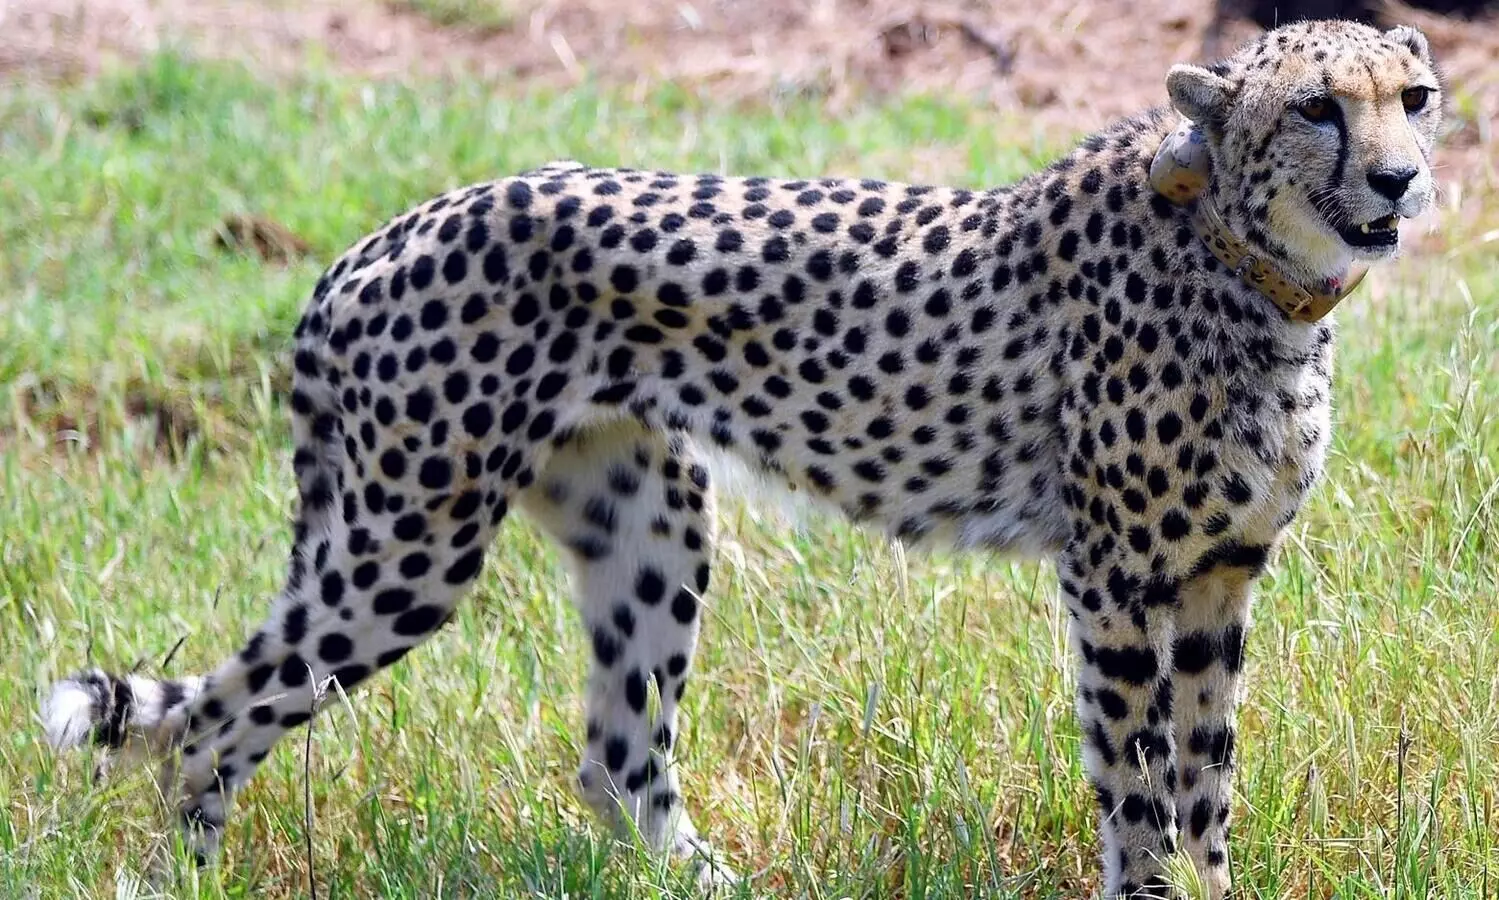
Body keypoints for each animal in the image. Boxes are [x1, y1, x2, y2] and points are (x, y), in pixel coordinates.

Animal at [41, 19, 1443, 897]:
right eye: (1316, 107)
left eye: (1412, 99)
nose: (1400, 178)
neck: (1252, 266)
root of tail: (380, 235)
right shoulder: (1113, 580)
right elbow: (1136, 782)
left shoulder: (1217, 579)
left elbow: (1206, 783)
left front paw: (1214, 884)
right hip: (409, 544)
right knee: (209, 723)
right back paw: (187, 881)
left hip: (648, 520)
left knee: (616, 760)